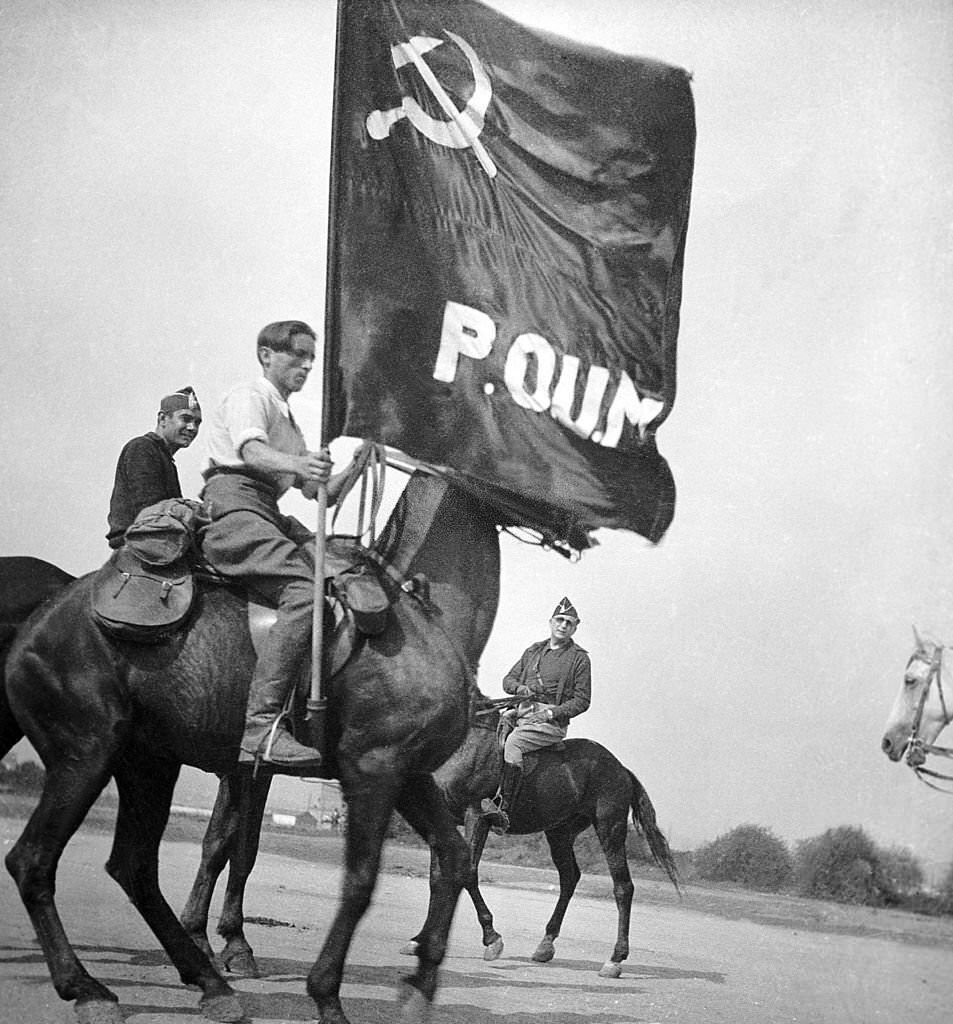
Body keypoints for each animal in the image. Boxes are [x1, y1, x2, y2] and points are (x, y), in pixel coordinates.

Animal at [0, 471, 503, 1024]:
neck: (414, 617)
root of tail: (40, 620)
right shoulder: (372, 770)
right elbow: (355, 880)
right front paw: (324, 994)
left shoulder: (407, 776)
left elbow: (453, 859)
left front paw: (419, 985)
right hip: (85, 755)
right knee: (33, 860)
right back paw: (88, 988)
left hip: (147, 763)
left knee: (132, 867)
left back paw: (208, 984)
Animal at [177, 692, 679, 978]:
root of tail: (622, 769)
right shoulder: (445, 818)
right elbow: (442, 876)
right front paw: (421, 939)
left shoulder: (477, 816)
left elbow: (467, 872)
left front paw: (491, 939)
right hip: (560, 832)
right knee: (570, 878)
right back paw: (546, 945)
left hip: (609, 826)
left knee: (622, 886)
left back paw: (614, 959)